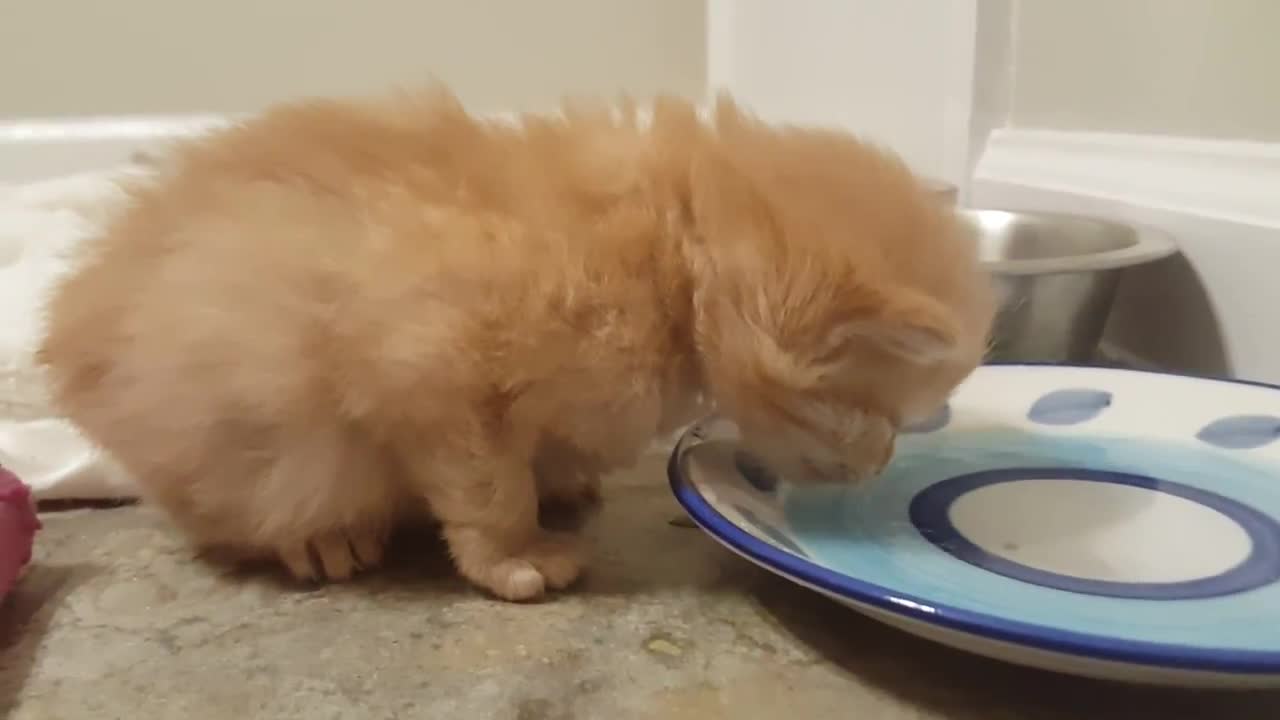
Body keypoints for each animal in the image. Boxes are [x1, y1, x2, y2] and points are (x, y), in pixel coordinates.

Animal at [40, 89, 993, 599]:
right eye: (879, 412)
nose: (883, 463)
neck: (662, 251)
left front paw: (562, 485)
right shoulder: (435, 375)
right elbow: (489, 490)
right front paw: (518, 559)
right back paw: (319, 541)